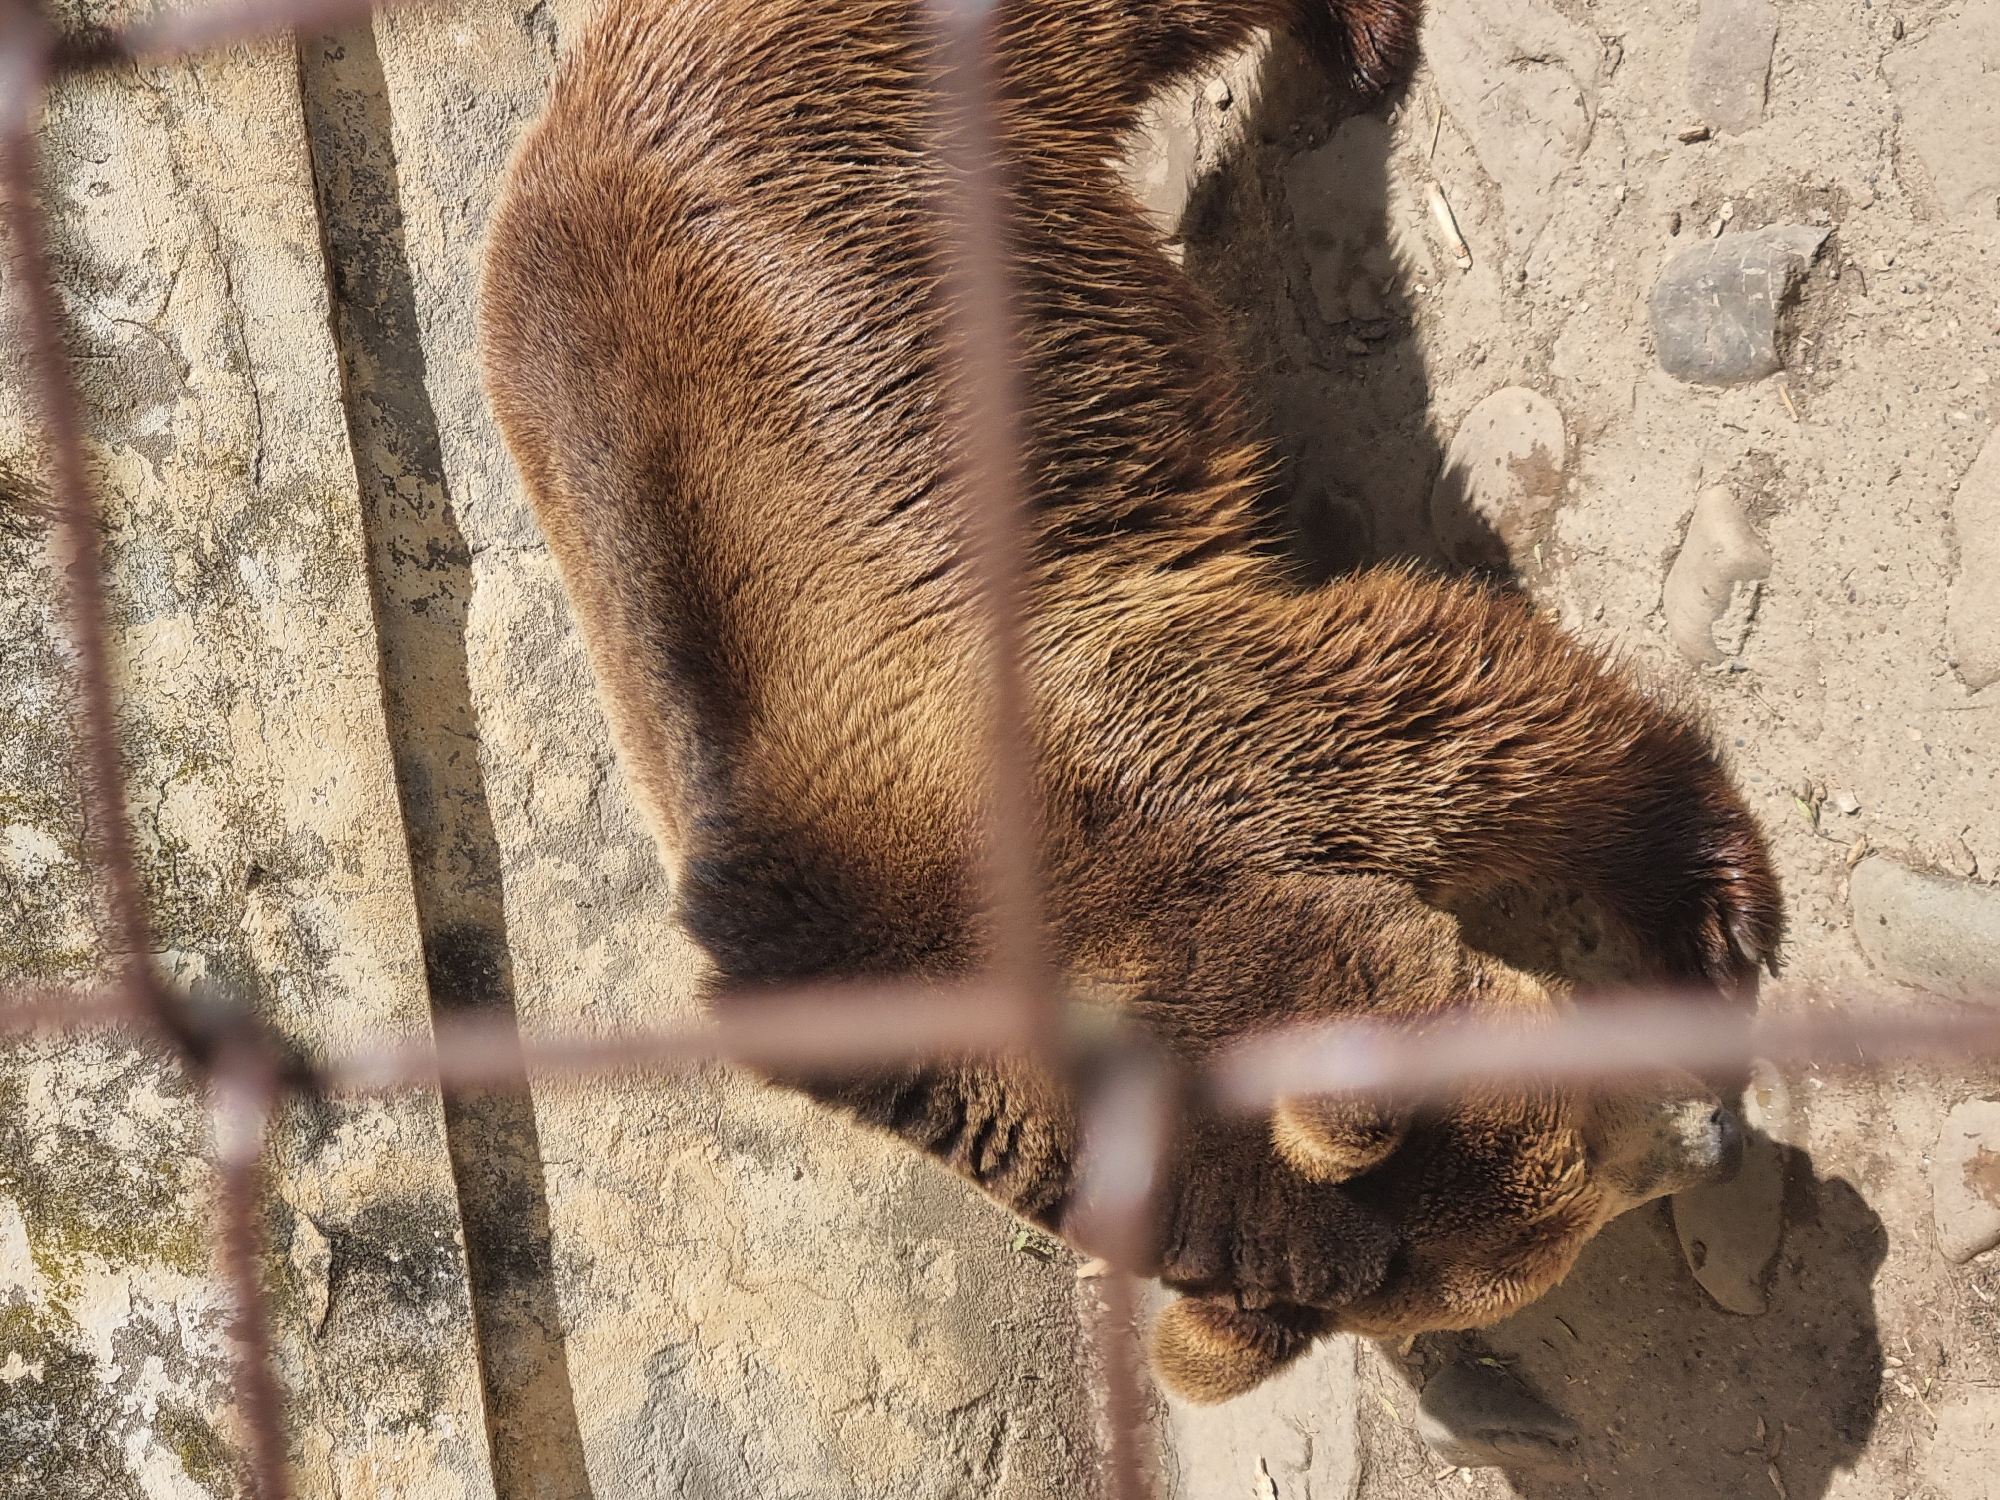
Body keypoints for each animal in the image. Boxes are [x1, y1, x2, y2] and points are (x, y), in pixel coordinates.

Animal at [477, 0, 1783, 1403]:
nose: (1715, 1131)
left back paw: (1359, 43)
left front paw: (1710, 906)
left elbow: (1456, 709)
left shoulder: (1132, 728)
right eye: (1586, 1177)